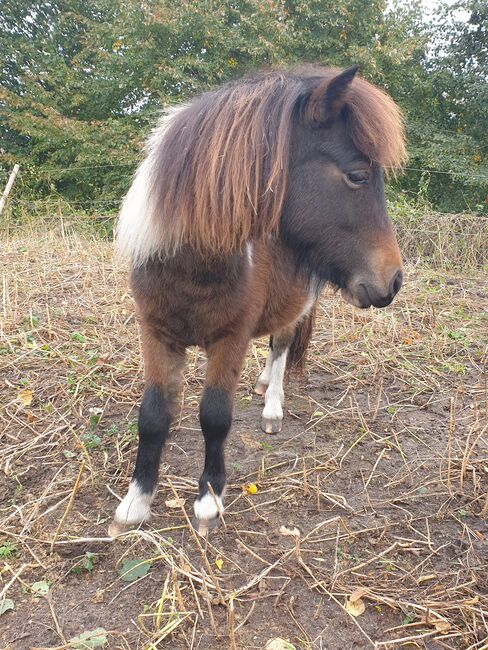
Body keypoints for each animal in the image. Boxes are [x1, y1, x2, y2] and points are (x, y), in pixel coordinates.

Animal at [110, 64, 404, 536]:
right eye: (358, 175)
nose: (392, 280)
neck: (193, 266)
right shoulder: (156, 335)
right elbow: (153, 416)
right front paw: (136, 503)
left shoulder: (230, 339)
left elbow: (214, 417)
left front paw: (208, 502)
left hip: (296, 308)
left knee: (281, 346)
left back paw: (273, 407)